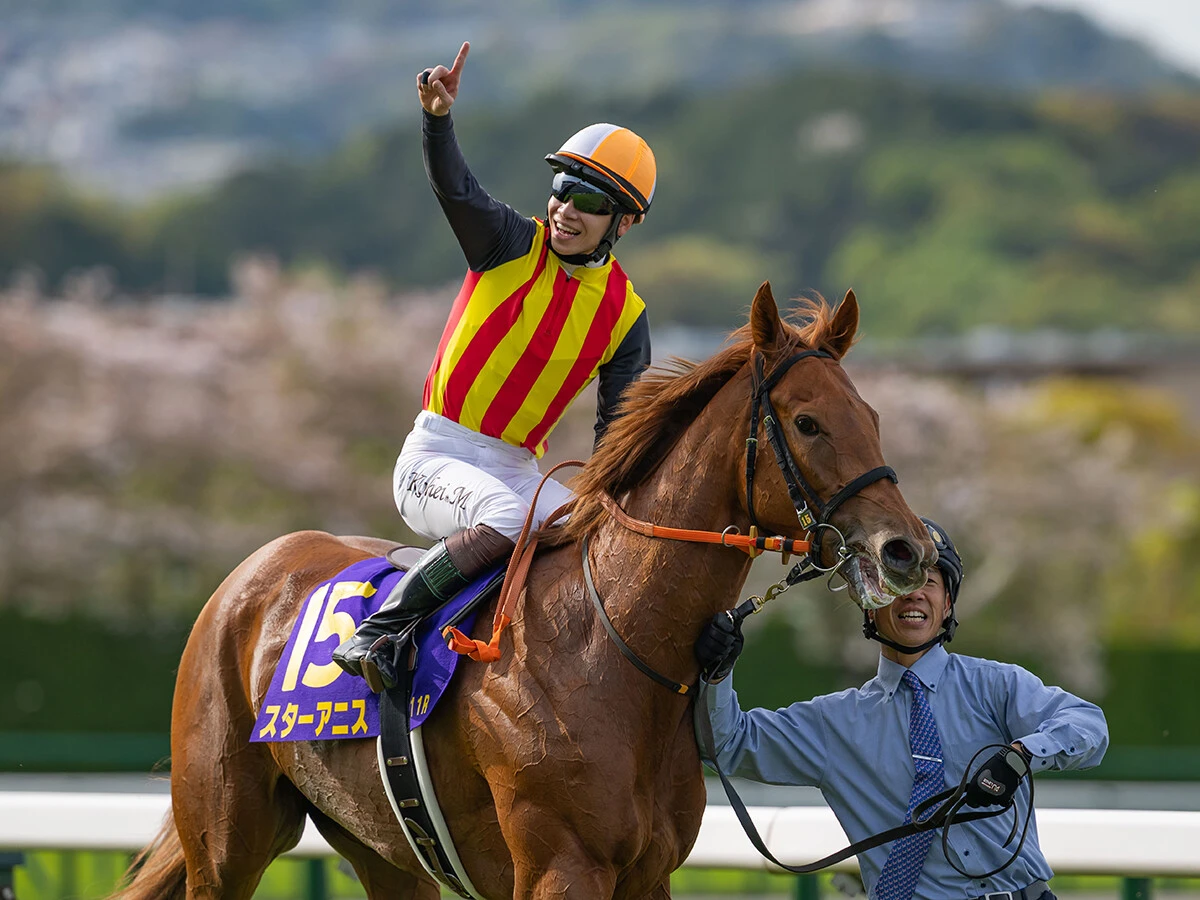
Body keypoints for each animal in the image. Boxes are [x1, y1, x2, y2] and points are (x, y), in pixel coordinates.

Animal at [113, 282, 934, 900]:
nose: (907, 550)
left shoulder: (647, 875)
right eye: (807, 422)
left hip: (382, 848)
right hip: (227, 838)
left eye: (872, 416)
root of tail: (249, 573)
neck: (610, 647)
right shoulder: (560, 869)